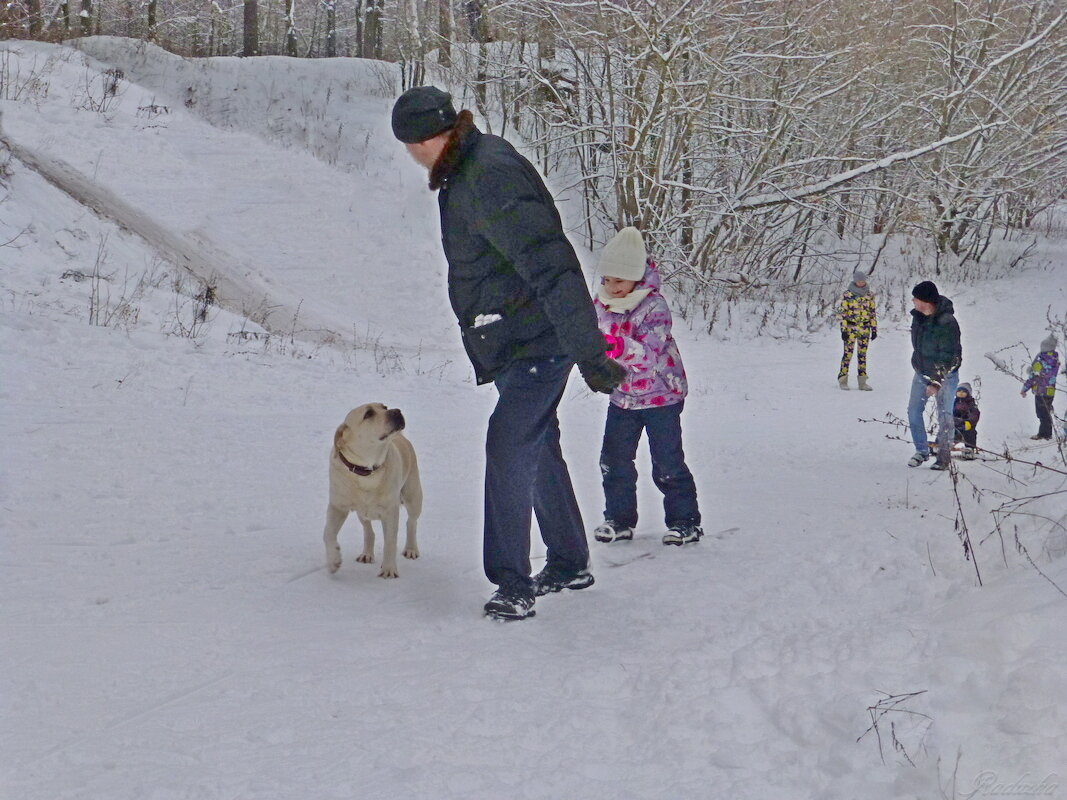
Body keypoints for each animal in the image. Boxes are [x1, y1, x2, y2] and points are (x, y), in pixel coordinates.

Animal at [322, 403, 422, 580]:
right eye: (368, 414)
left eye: (384, 407)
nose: (396, 411)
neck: (367, 470)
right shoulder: (337, 506)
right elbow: (328, 533)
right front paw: (334, 561)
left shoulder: (390, 511)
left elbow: (390, 541)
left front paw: (389, 569)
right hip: (362, 512)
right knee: (368, 530)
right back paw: (366, 554)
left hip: (413, 496)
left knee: (411, 522)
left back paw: (410, 549)